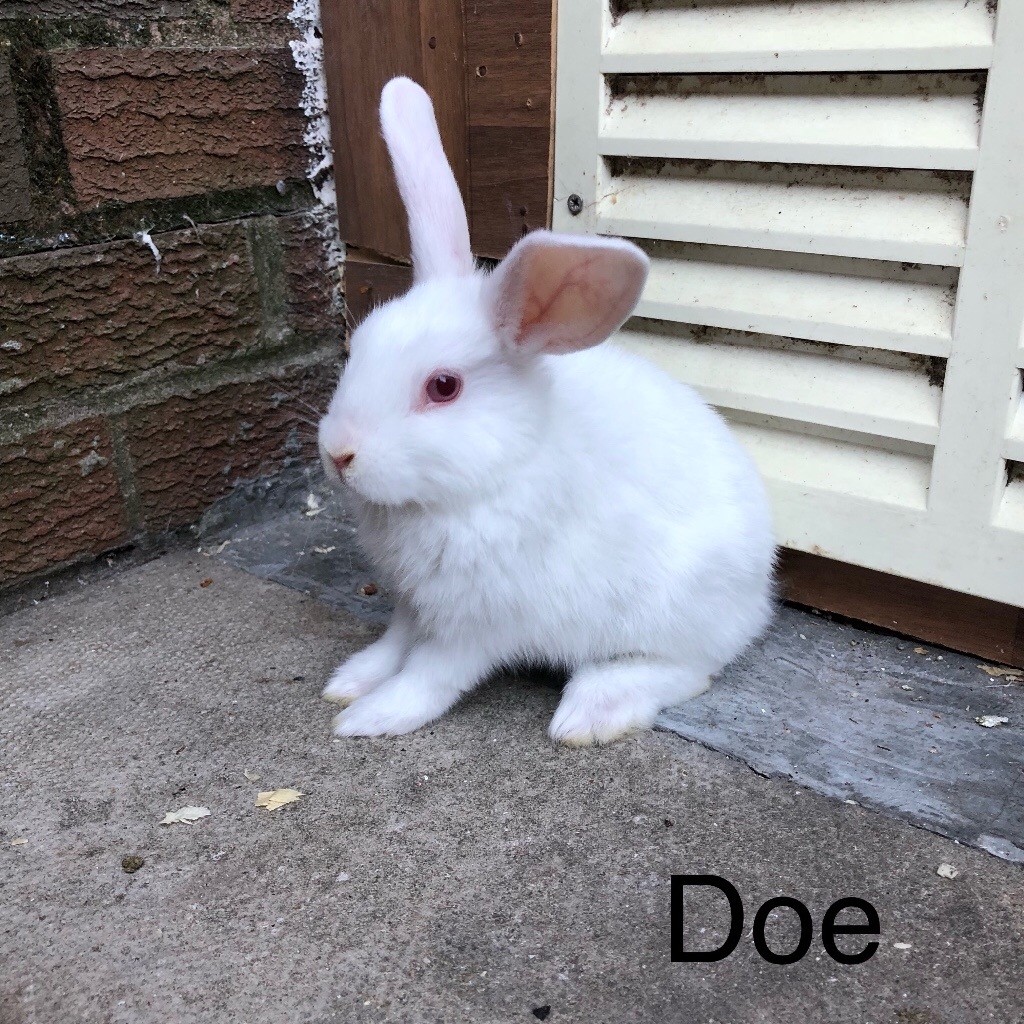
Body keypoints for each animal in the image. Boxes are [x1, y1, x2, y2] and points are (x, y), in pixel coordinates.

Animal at [317, 76, 776, 745]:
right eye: (359, 348)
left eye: (444, 386)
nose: (338, 453)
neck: (493, 475)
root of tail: (759, 596)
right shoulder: (413, 601)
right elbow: (394, 645)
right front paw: (350, 681)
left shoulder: (478, 623)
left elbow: (430, 675)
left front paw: (370, 717)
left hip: (670, 614)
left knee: (689, 670)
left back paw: (592, 711)